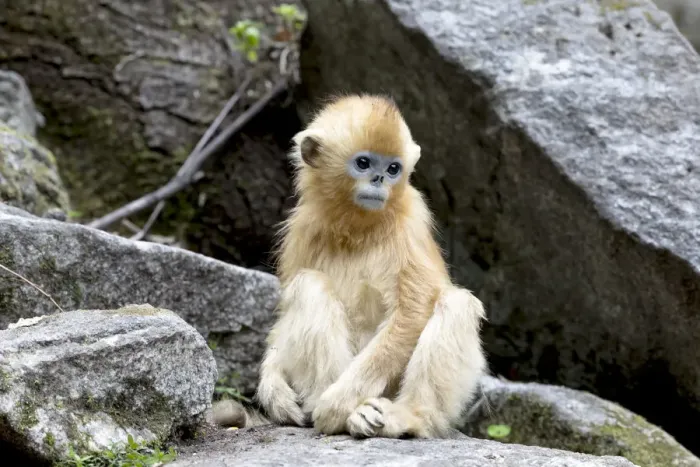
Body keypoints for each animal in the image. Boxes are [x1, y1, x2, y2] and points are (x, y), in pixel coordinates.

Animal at [211, 94, 487, 439]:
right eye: (364, 163)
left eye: (393, 168)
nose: (379, 179)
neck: (358, 228)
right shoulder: (302, 227)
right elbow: (285, 312)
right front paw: (273, 386)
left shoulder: (411, 223)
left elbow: (413, 312)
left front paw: (336, 406)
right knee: (309, 284)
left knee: (456, 302)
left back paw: (402, 416)